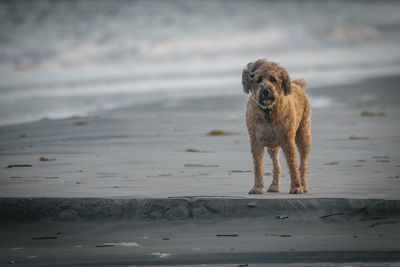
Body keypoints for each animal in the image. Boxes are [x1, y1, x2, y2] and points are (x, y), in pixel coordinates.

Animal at [242, 60, 310, 195]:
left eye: (272, 79)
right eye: (258, 80)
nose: (265, 91)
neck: (268, 111)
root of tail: (298, 85)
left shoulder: (287, 140)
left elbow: (293, 165)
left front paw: (296, 187)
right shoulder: (256, 142)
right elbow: (258, 166)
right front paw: (257, 187)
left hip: (303, 135)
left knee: (303, 164)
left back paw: (303, 185)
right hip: (272, 145)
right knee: (277, 165)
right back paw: (274, 186)